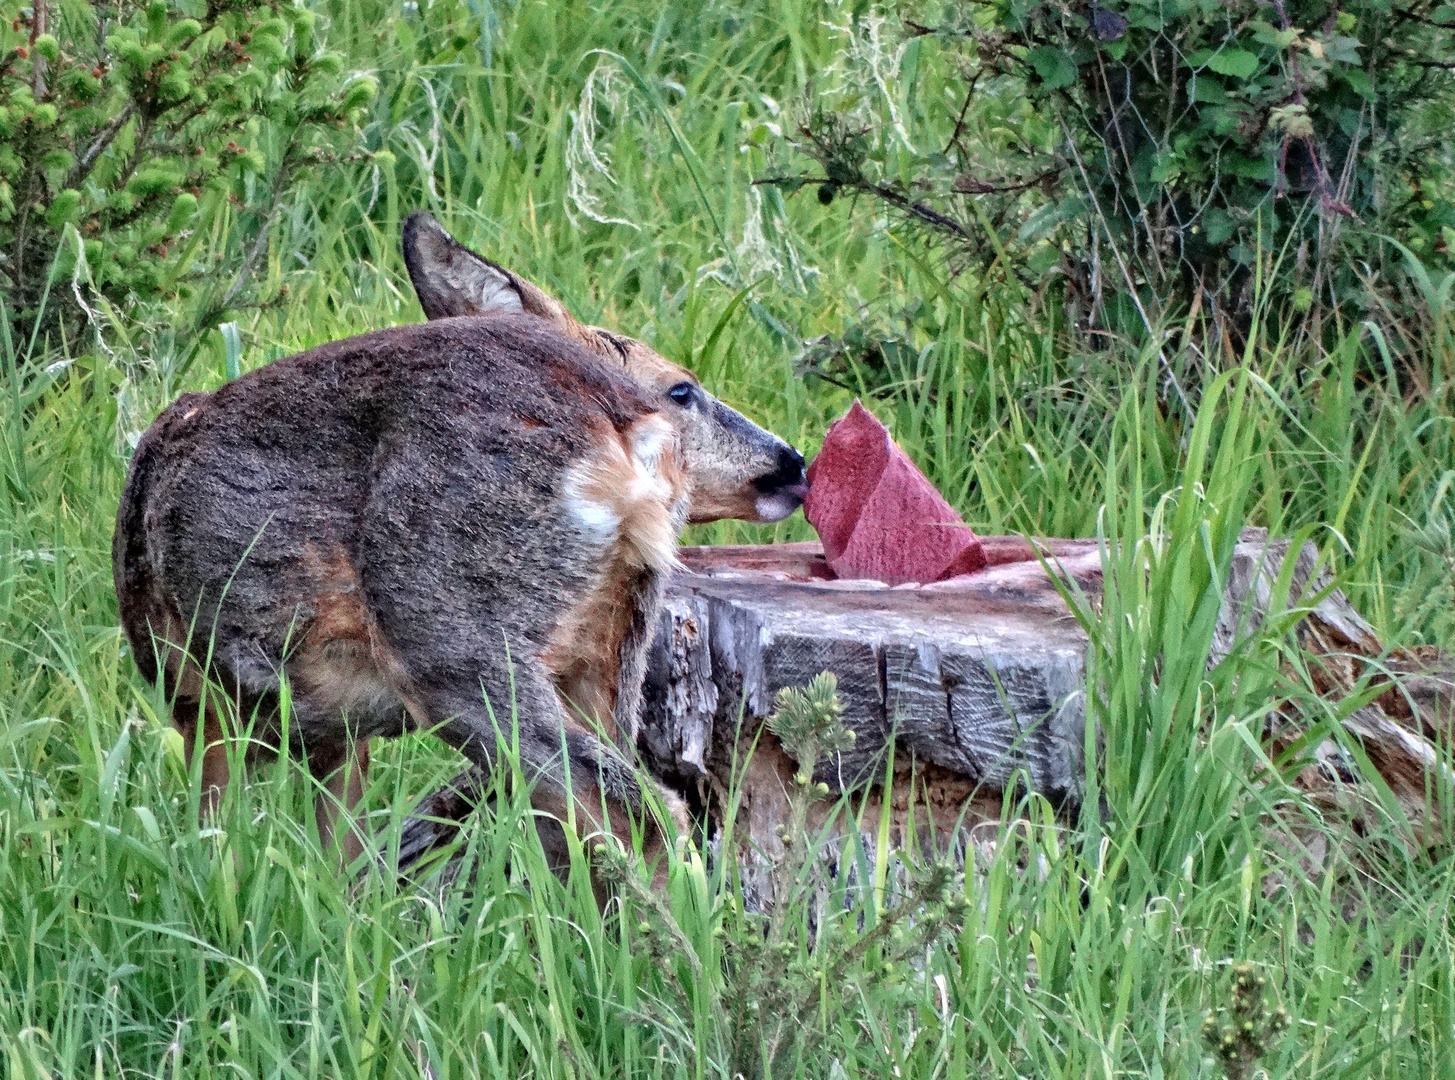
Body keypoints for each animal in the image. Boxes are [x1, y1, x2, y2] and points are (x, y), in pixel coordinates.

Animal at [113, 211, 808, 873]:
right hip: (612, 644)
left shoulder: (200, 696)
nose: (793, 462)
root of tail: (618, 416)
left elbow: (213, 838)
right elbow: (339, 857)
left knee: (636, 809)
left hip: (449, 633)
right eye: (683, 388)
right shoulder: (332, 733)